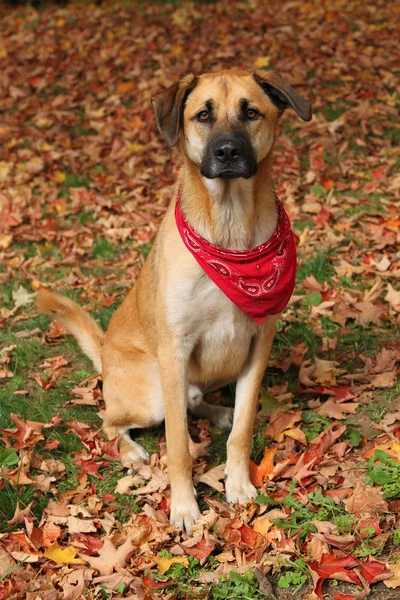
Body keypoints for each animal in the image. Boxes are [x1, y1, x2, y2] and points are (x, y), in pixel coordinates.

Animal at [36, 68, 312, 532]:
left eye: (251, 113)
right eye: (203, 115)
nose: (227, 151)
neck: (230, 231)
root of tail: (105, 354)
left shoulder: (258, 344)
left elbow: (242, 429)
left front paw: (238, 482)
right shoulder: (175, 349)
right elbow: (179, 445)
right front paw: (184, 506)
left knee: (193, 402)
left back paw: (218, 412)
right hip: (149, 390)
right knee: (111, 421)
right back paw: (132, 451)